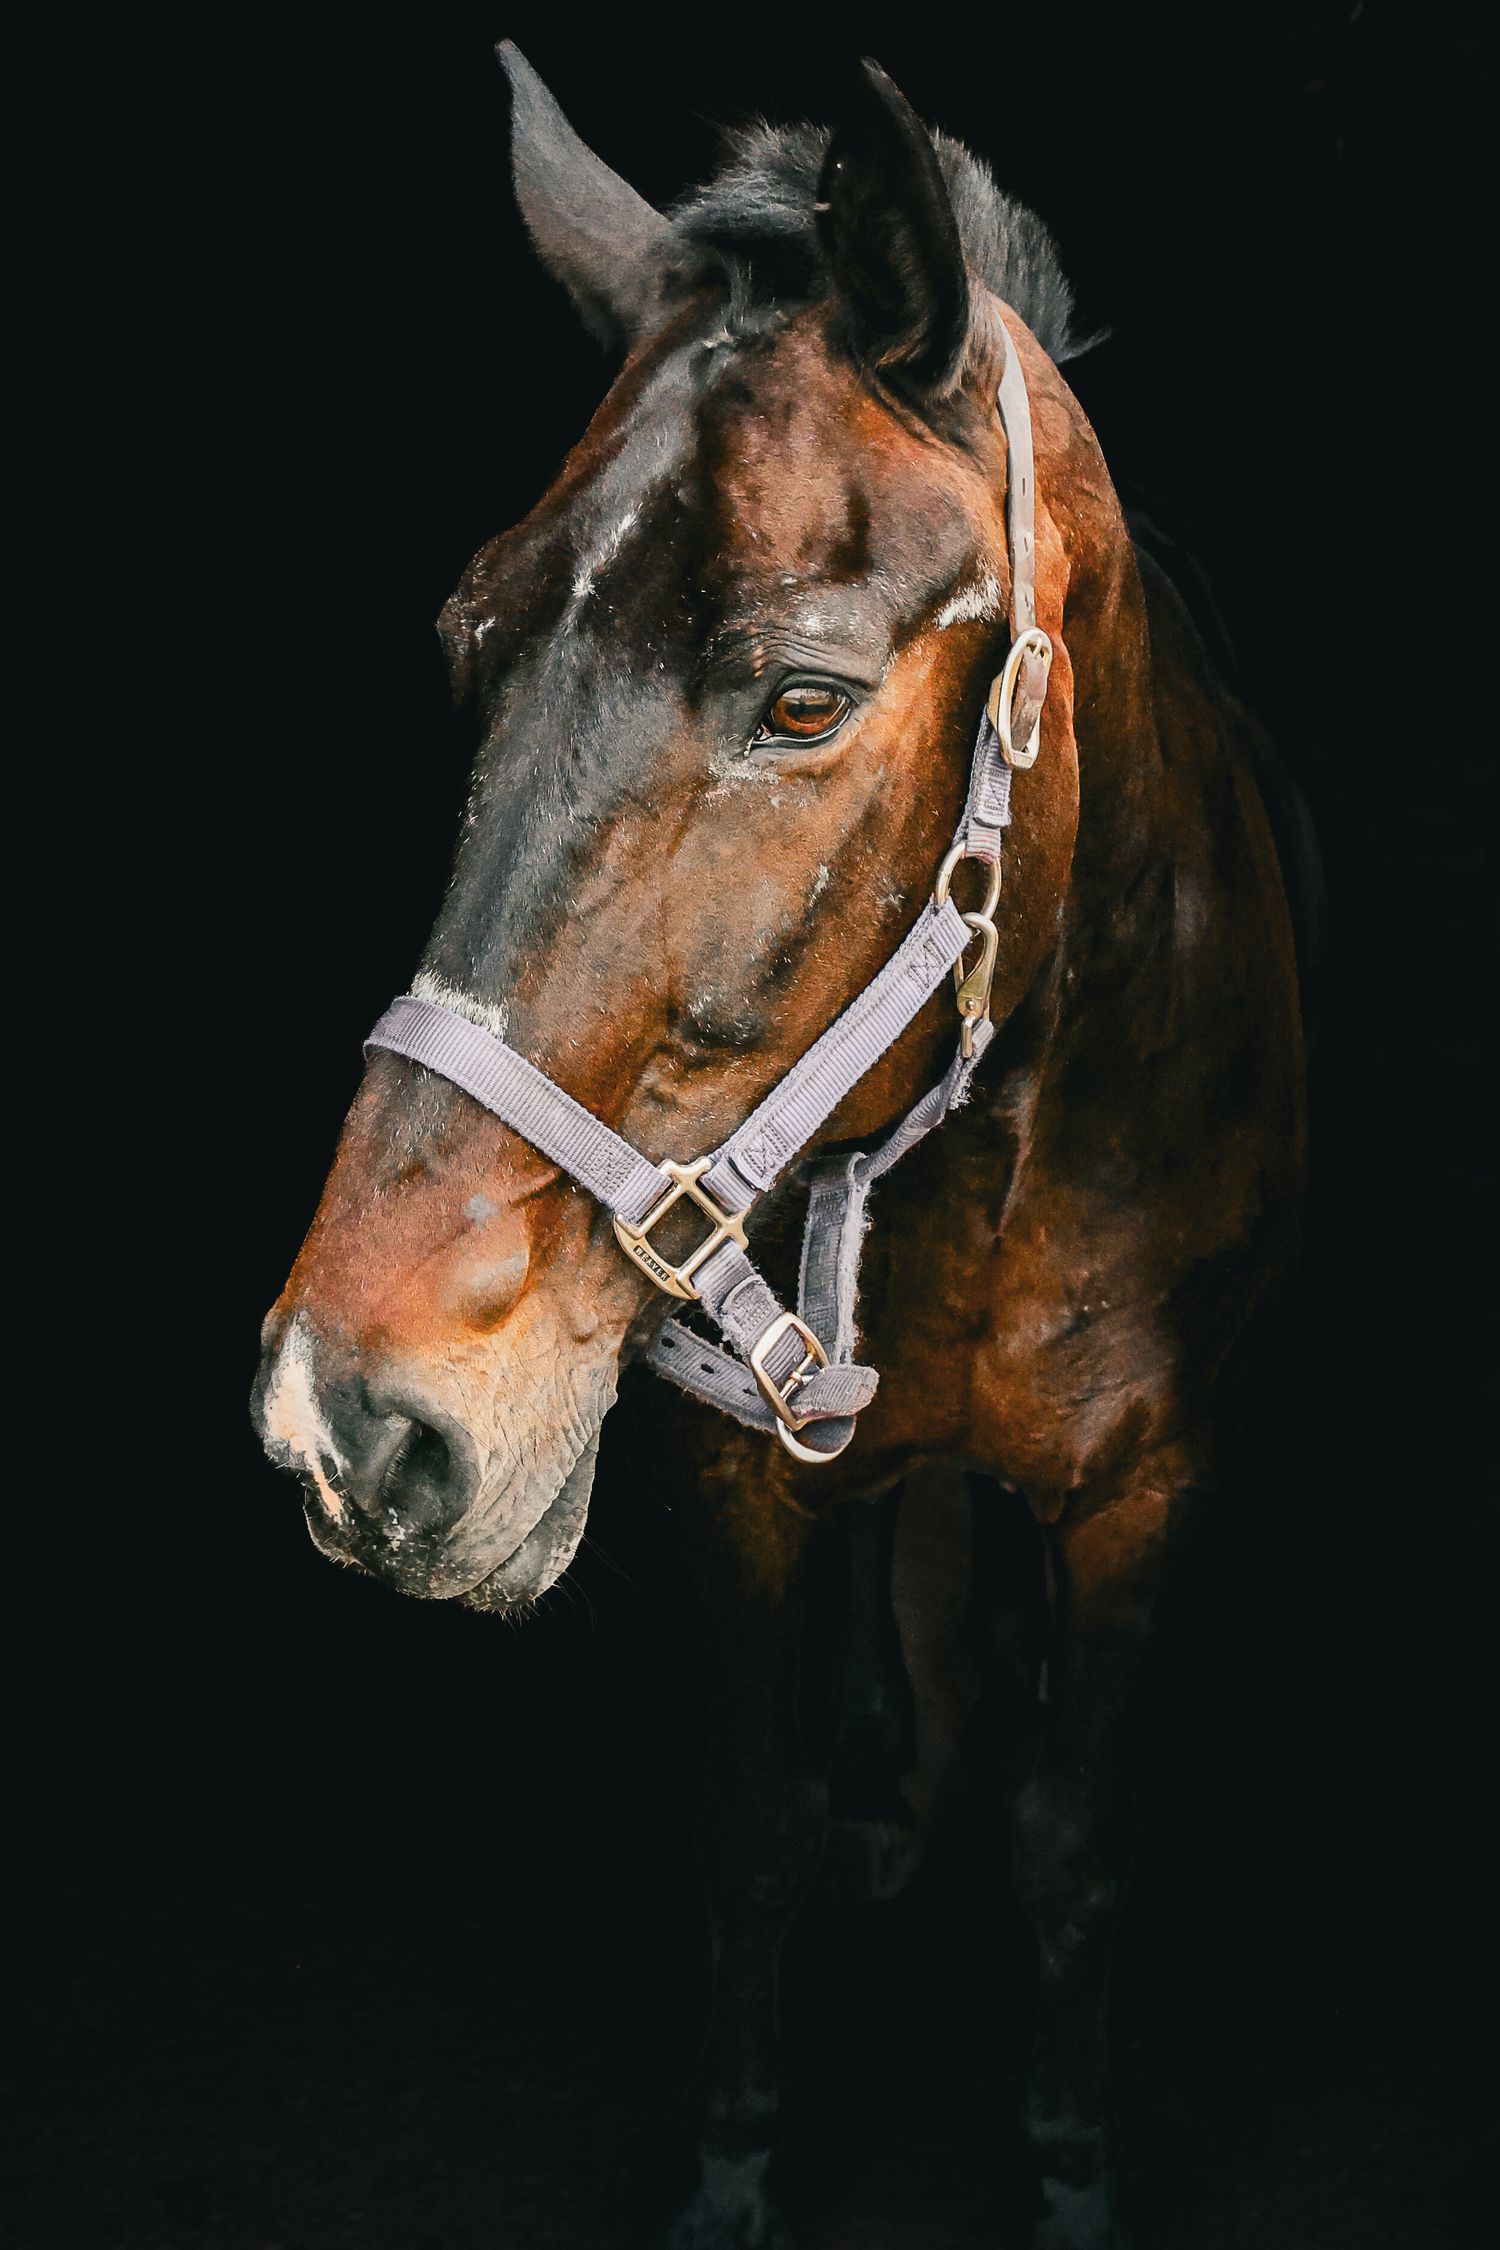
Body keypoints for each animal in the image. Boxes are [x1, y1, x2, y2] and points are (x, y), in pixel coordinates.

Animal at [252, 49, 1306, 2250]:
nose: (344, 1417)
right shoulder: (735, 1486)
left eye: (806, 700)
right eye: (470, 645)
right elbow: (749, 1837)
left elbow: (1078, 1851)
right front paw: (737, 2172)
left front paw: (1069, 2176)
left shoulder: (1151, 1492)